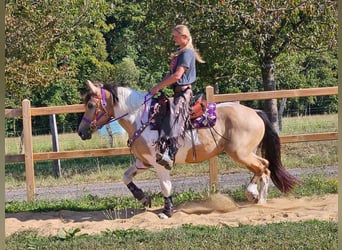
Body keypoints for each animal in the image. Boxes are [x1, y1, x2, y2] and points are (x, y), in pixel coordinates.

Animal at [78, 80, 300, 219]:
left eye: (90, 105)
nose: (81, 132)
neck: (142, 118)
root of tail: (254, 111)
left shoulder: (160, 163)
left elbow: (166, 186)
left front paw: (166, 212)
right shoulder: (144, 162)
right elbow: (126, 177)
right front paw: (143, 198)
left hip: (240, 153)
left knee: (264, 167)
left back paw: (258, 198)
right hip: (245, 152)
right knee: (263, 167)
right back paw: (255, 196)